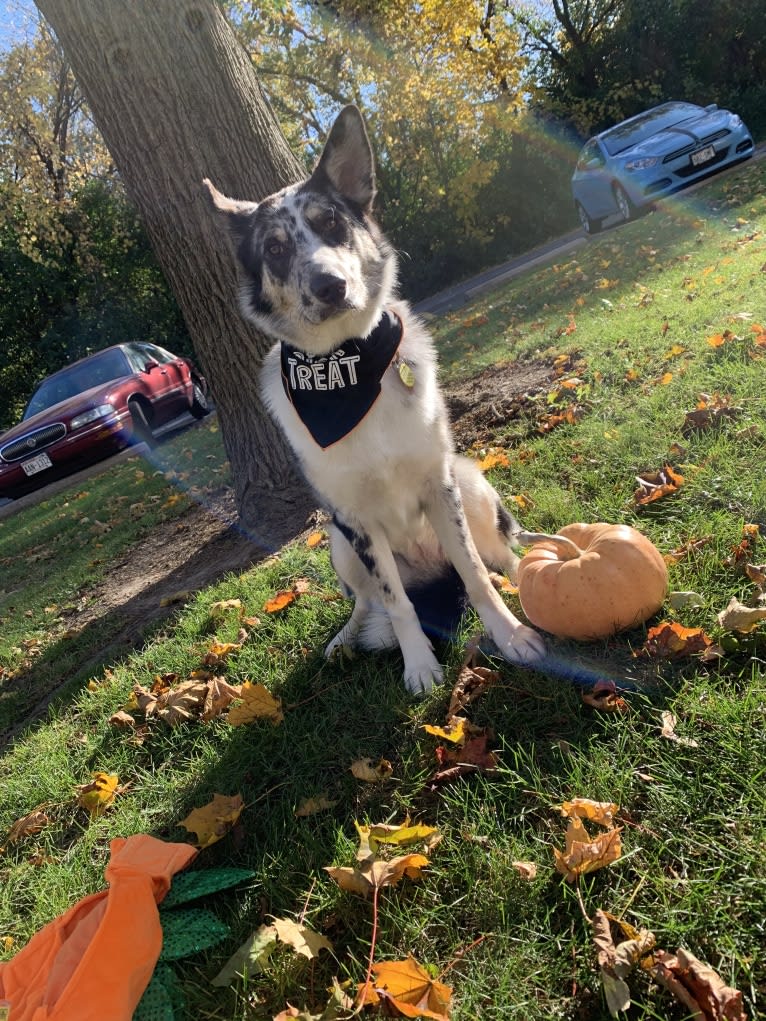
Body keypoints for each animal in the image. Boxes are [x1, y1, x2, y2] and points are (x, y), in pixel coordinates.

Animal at [202, 105, 547, 694]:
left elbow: (477, 575)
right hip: (339, 543)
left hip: (469, 482)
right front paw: (419, 665)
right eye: (275, 248)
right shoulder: (356, 520)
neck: (349, 365)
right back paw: (345, 636)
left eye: (331, 224)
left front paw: (511, 634)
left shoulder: (440, 486)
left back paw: (525, 570)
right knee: (369, 601)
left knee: (497, 554)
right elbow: (396, 602)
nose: (329, 286)